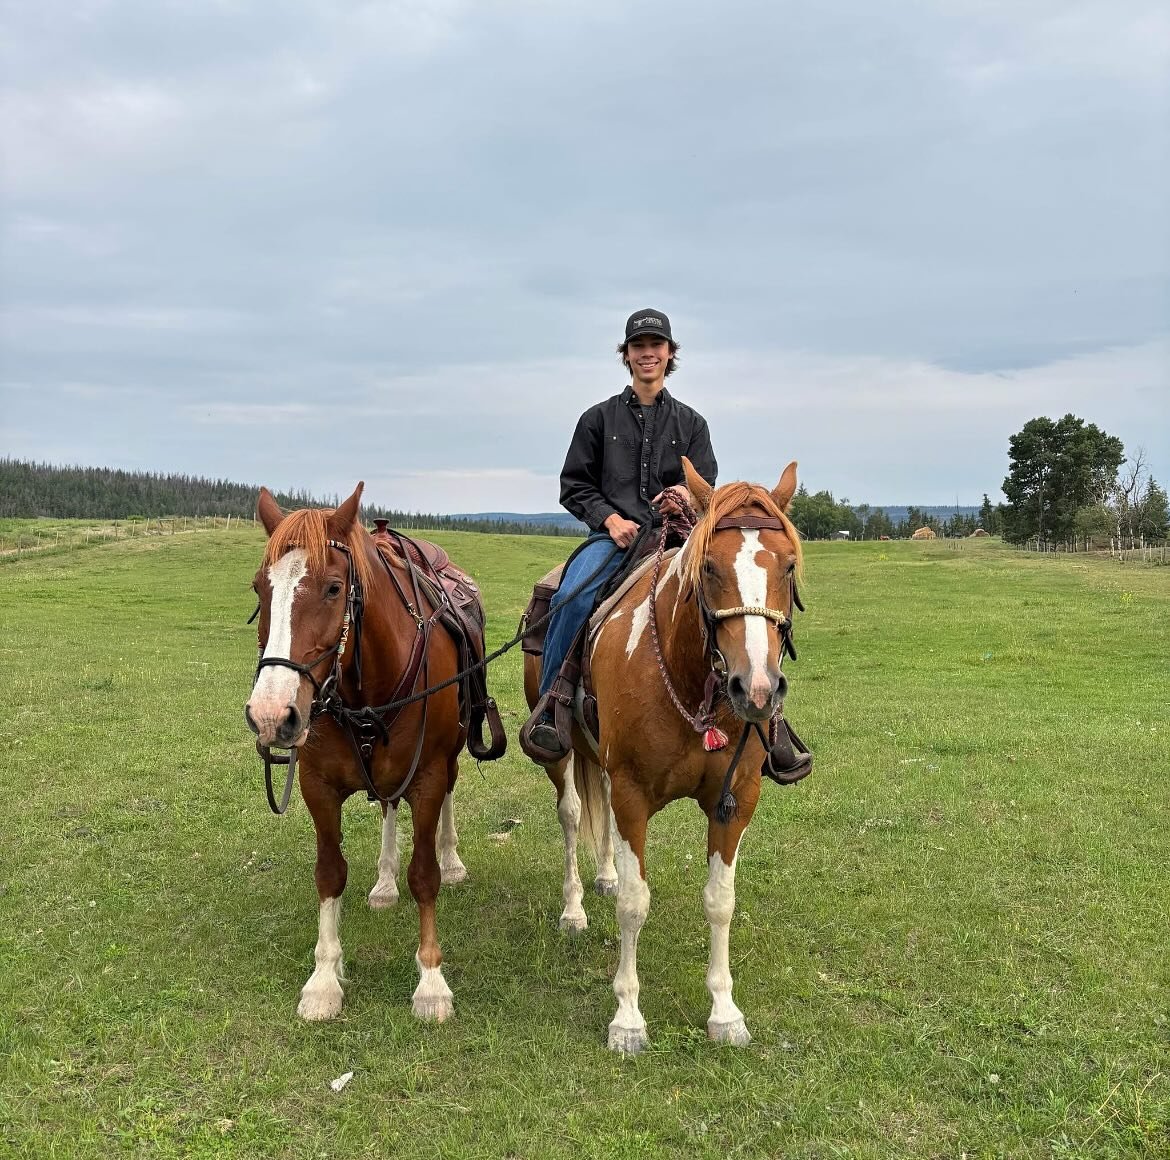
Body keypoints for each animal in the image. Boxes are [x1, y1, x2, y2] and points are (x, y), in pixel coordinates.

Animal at [245, 482, 488, 1023]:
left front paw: (431, 981)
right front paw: (323, 979)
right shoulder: (317, 787)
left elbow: (425, 876)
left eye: (334, 588)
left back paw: (452, 859)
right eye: (259, 589)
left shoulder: (427, 777)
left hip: (449, 758)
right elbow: (329, 874)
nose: (271, 714)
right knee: (388, 806)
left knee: (447, 799)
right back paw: (383, 882)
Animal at [524, 457, 808, 1053]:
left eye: (789, 566)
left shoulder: (735, 799)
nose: (757, 689)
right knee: (573, 814)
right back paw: (574, 909)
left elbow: (720, 900)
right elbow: (635, 904)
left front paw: (725, 1012)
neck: (684, 675)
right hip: (560, 756)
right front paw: (627, 1019)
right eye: (708, 568)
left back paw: (604, 875)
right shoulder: (633, 794)